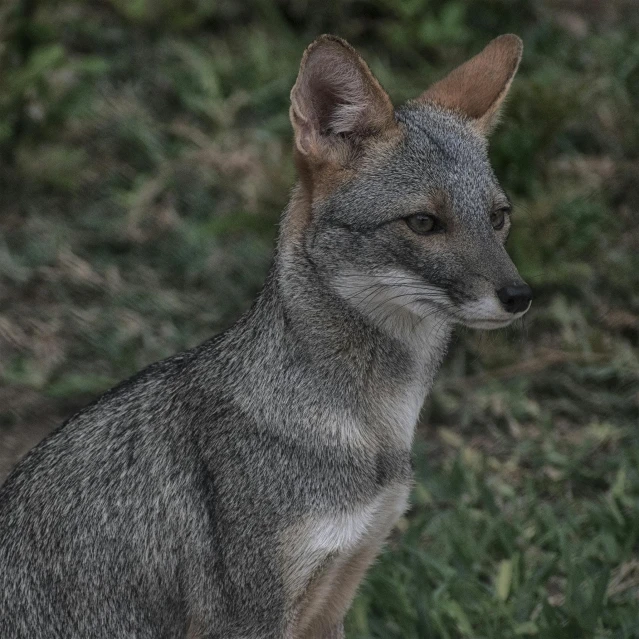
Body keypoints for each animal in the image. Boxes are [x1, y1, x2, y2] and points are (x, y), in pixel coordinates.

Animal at [0, 36, 528, 639]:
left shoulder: (334, 595)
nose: (519, 295)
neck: (375, 431)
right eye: (423, 223)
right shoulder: (250, 617)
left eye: (499, 217)